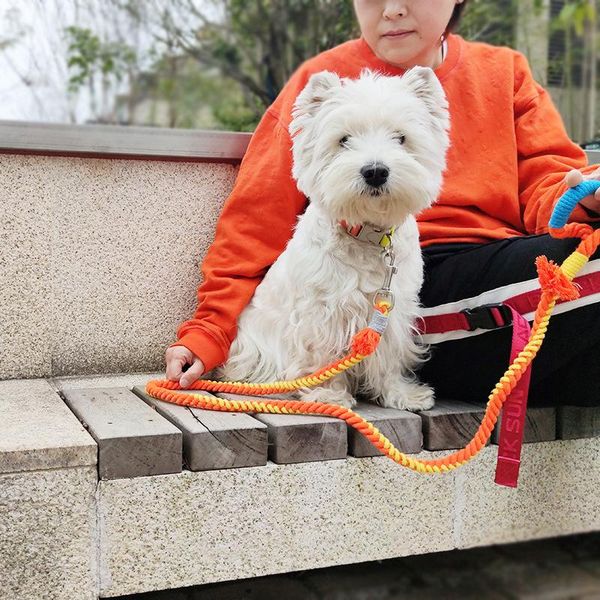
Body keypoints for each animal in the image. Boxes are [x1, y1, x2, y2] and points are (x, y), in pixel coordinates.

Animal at [218, 68, 448, 410]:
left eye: (401, 138)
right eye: (344, 140)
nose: (375, 171)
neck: (368, 235)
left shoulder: (391, 310)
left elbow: (390, 354)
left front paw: (403, 394)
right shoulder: (321, 311)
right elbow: (322, 355)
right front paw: (327, 394)